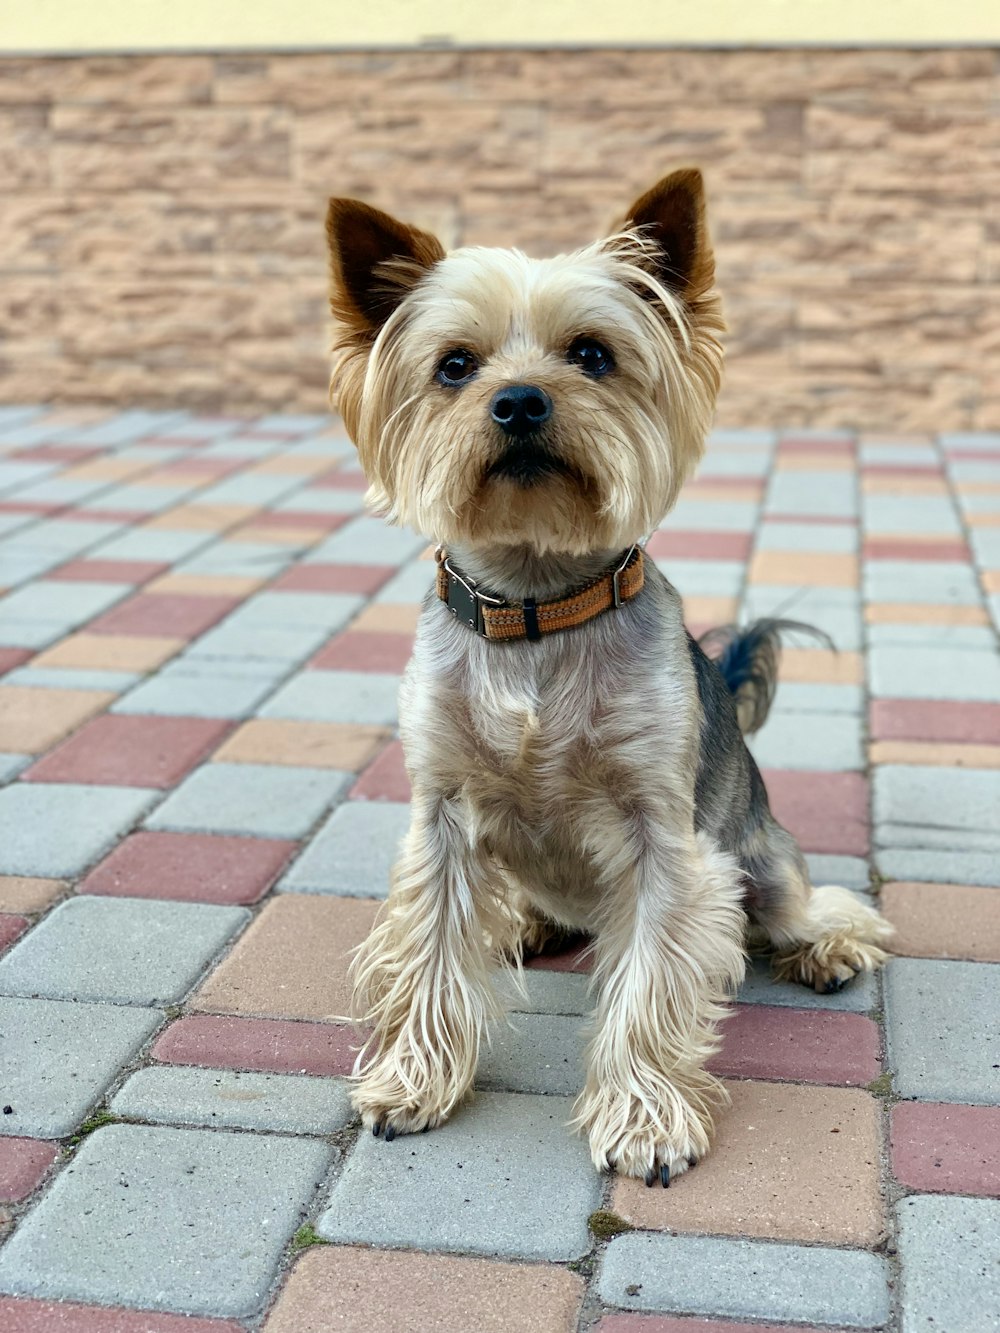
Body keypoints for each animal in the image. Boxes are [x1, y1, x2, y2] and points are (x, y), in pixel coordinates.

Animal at [322, 171, 890, 1183]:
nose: (518, 401)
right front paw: (413, 1077)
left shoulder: (665, 837)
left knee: (799, 903)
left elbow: (653, 977)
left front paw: (646, 1116)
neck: (536, 608)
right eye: (455, 366)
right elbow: (430, 947)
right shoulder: (444, 816)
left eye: (591, 354)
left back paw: (828, 943)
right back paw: (528, 921)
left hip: (758, 858)